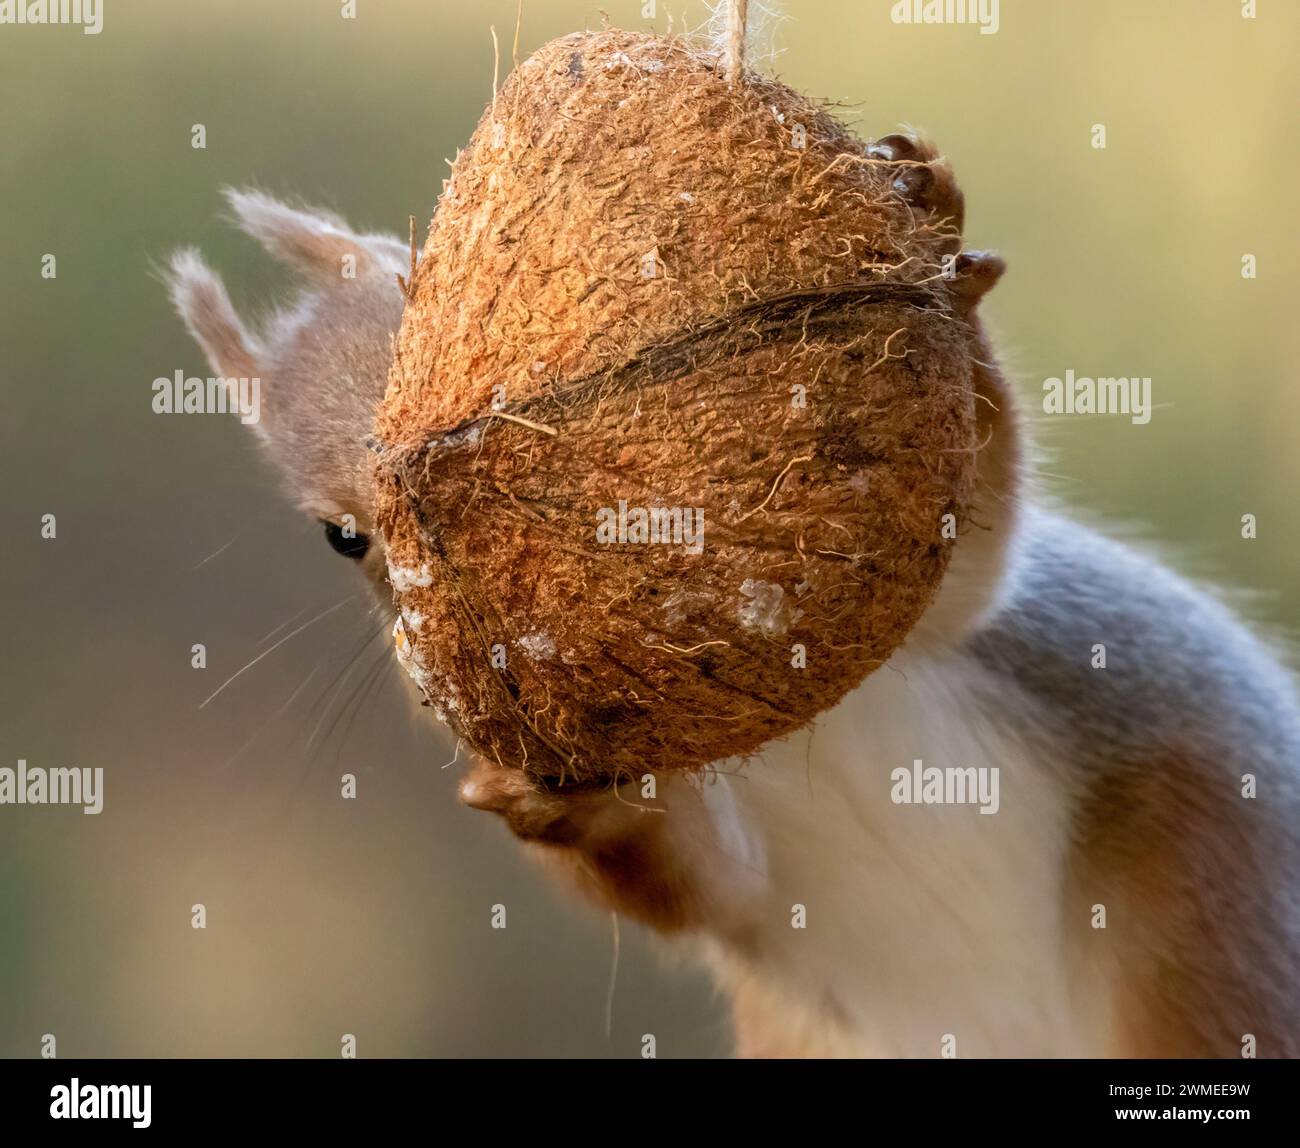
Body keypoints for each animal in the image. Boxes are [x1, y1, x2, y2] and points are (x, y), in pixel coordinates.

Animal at [167, 152, 1300, 1058]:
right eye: (341, 537)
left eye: (434, 279)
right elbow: (706, 879)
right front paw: (576, 801)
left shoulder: (939, 618)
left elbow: (971, 555)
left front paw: (937, 258)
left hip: (1209, 921)